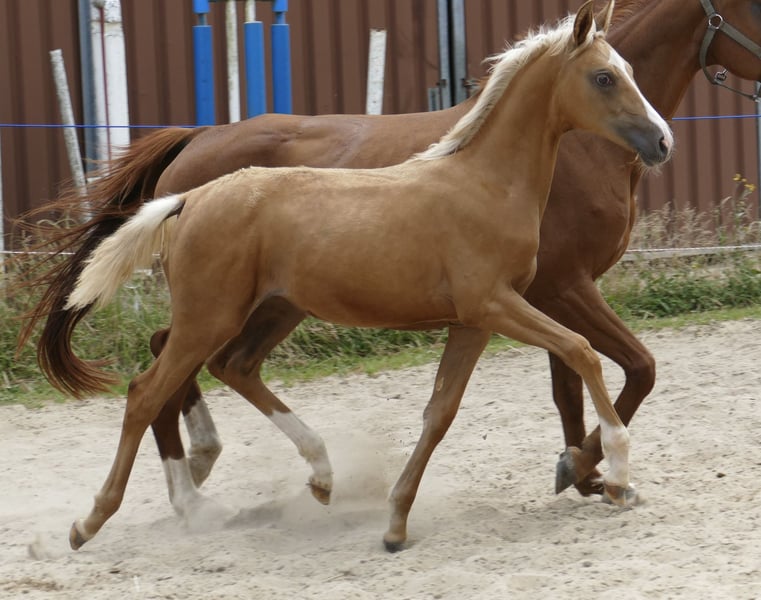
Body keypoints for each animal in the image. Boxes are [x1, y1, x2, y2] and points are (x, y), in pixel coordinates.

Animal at [16, 0, 761, 504]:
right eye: (607, 78)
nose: (661, 142)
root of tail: (194, 143)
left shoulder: (544, 291)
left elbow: (572, 385)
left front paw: (583, 471)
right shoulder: (561, 286)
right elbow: (633, 369)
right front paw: (588, 470)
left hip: (267, 305)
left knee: (184, 357)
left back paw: (202, 471)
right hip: (232, 304)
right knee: (167, 366)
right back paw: (188, 486)